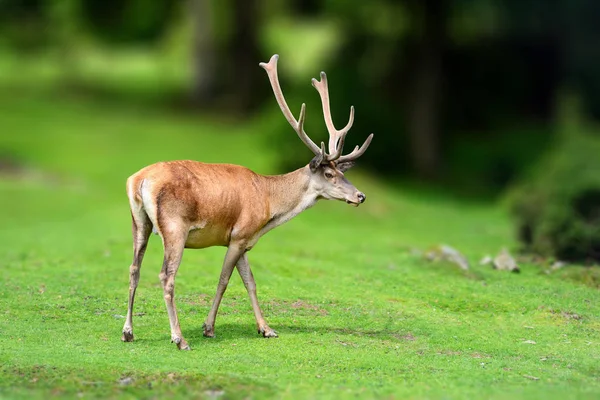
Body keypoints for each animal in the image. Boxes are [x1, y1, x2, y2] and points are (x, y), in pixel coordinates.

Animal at [120, 54, 376, 348]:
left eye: (343, 173)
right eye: (329, 173)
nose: (360, 196)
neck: (269, 206)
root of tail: (139, 180)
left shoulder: (243, 240)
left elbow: (250, 281)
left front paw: (266, 328)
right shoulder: (241, 233)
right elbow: (223, 279)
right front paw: (209, 328)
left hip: (139, 221)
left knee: (134, 268)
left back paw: (128, 332)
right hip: (174, 226)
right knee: (166, 275)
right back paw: (179, 338)